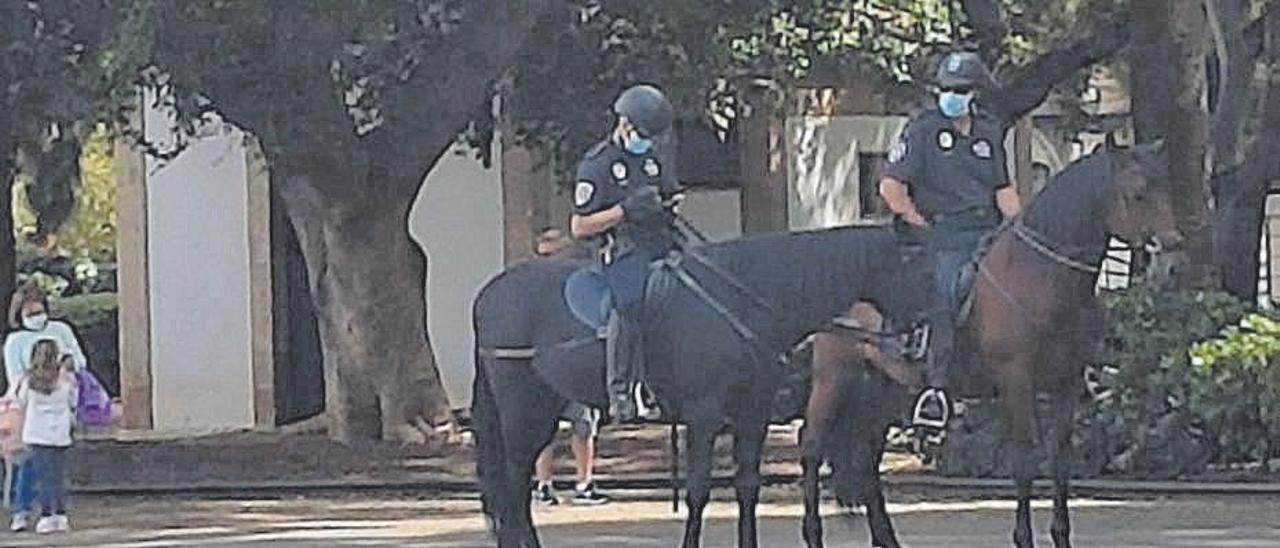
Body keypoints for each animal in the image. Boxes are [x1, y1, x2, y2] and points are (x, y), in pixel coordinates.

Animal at [471, 220, 931, 545]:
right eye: (914, 260)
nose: (919, 336)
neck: (744, 299)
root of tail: (488, 292)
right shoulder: (704, 416)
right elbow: (697, 493)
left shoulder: (753, 415)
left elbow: (747, 488)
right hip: (523, 409)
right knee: (513, 484)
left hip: (544, 406)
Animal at [798, 142, 1177, 548]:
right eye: (1137, 194)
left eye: (1166, 188)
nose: (1172, 250)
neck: (1038, 274)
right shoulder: (1016, 380)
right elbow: (1024, 460)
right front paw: (1023, 537)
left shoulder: (1065, 383)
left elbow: (1060, 460)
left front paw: (1060, 534)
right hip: (834, 376)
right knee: (812, 448)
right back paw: (813, 533)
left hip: (885, 386)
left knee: (867, 459)